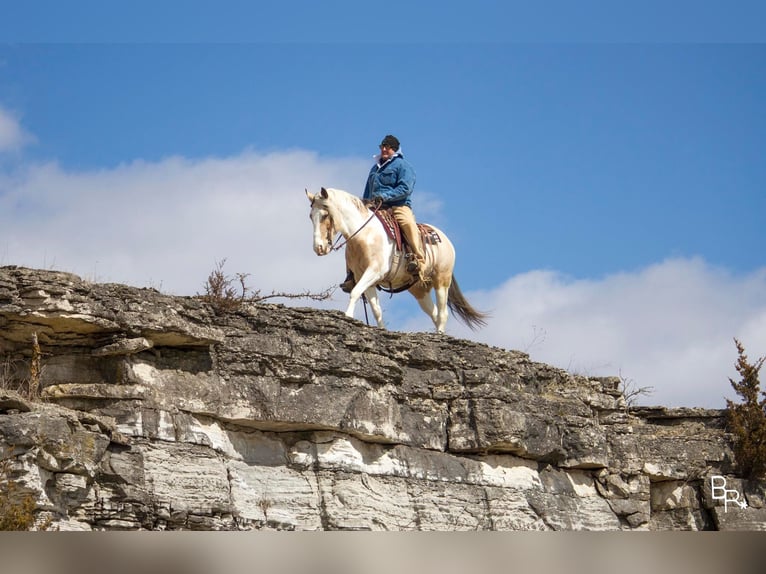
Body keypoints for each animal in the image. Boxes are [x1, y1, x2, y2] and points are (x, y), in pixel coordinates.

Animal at [304, 187, 486, 336]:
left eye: (325, 215)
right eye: (311, 216)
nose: (318, 248)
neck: (365, 236)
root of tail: (445, 239)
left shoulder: (374, 271)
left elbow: (355, 292)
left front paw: (347, 316)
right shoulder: (365, 277)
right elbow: (376, 309)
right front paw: (381, 329)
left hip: (442, 279)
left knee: (442, 313)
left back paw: (440, 335)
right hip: (419, 289)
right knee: (434, 313)